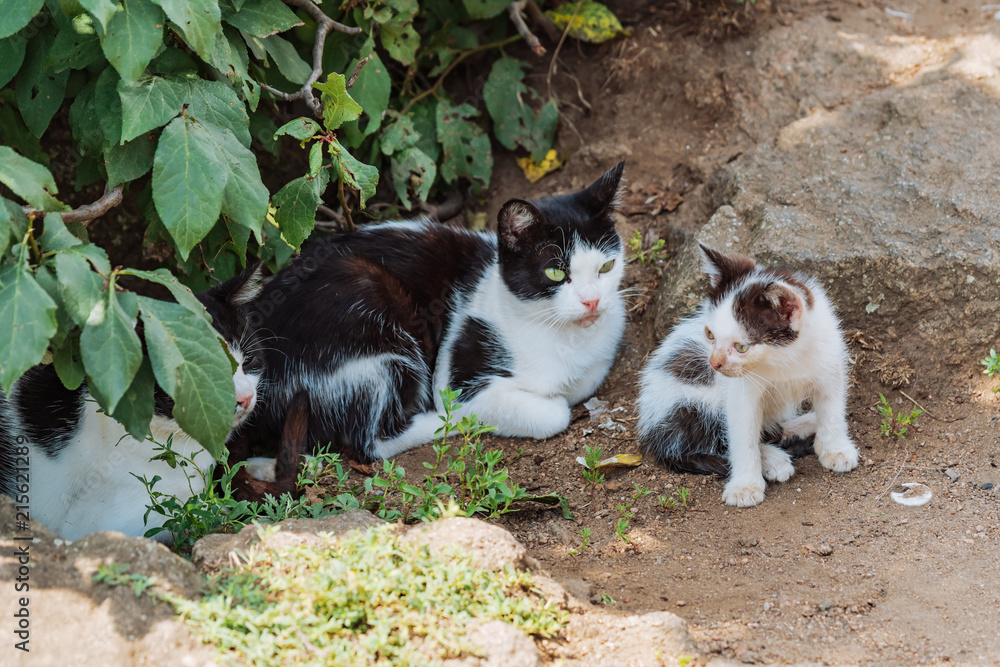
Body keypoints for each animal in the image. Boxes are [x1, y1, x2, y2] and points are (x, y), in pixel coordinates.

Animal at [244, 162, 624, 464]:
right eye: (556, 273)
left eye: (606, 266)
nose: (592, 301)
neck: (564, 337)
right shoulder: (455, 372)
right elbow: (552, 412)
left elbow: (588, 378)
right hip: (372, 322)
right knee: (370, 442)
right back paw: (442, 423)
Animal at [640, 244, 860, 506]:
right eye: (710, 334)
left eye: (741, 346)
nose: (714, 364)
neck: (784, 359)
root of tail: (652, 430)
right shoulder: (740, 392)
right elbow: (743, 435)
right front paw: (745, 486)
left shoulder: (830, 362)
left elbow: (832, 408)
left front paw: (835, 448)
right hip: (687, 404)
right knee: (715, 439)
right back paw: (774, 460)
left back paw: (802, 424)